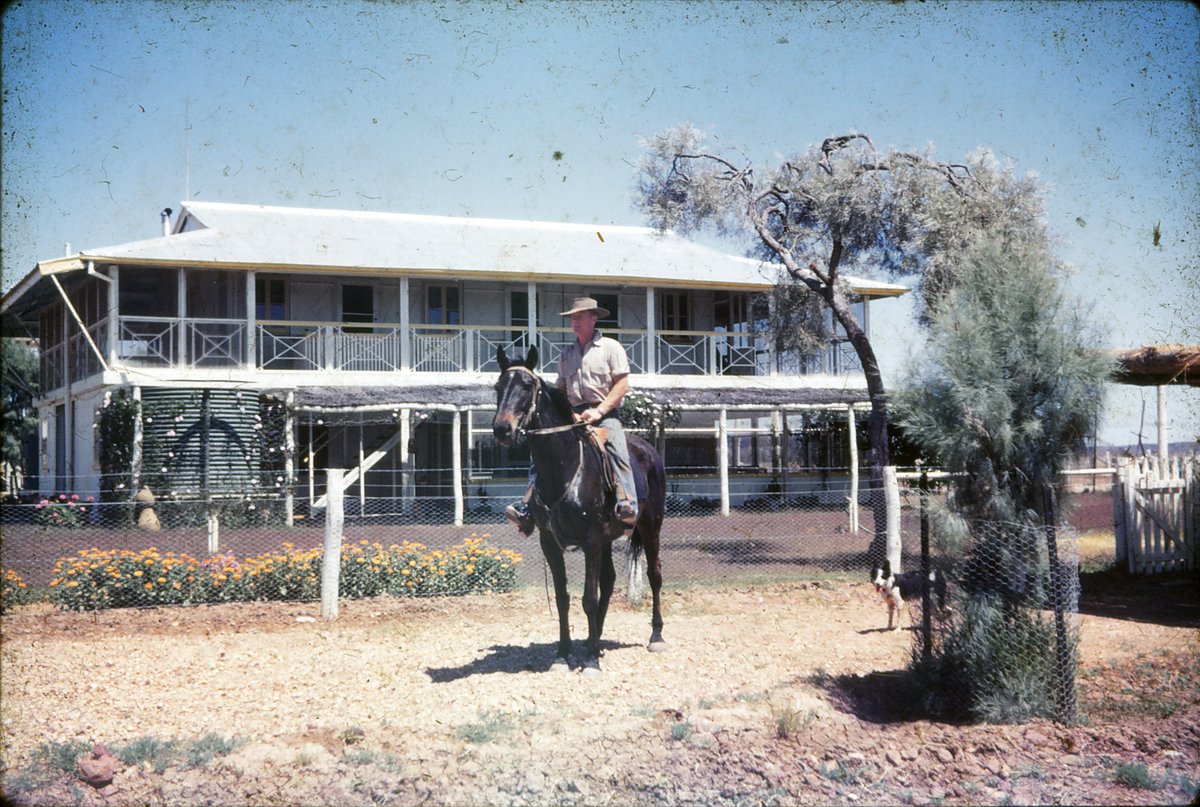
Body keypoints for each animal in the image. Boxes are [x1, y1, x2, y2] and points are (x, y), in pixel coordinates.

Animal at [494, 345, 672, 672]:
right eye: (498, 387)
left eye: (526, 386)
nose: (502, 429)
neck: (564, 469)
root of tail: (648, 449)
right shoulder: (550, 542)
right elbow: (563, 598)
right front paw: (564, 653)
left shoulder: (590, 540)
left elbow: (588, 598)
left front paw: (589, 662)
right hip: (607, 540)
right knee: (609, 580)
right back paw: (595, 639)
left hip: (650, 528)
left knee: (654, 575)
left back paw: (655, 637)